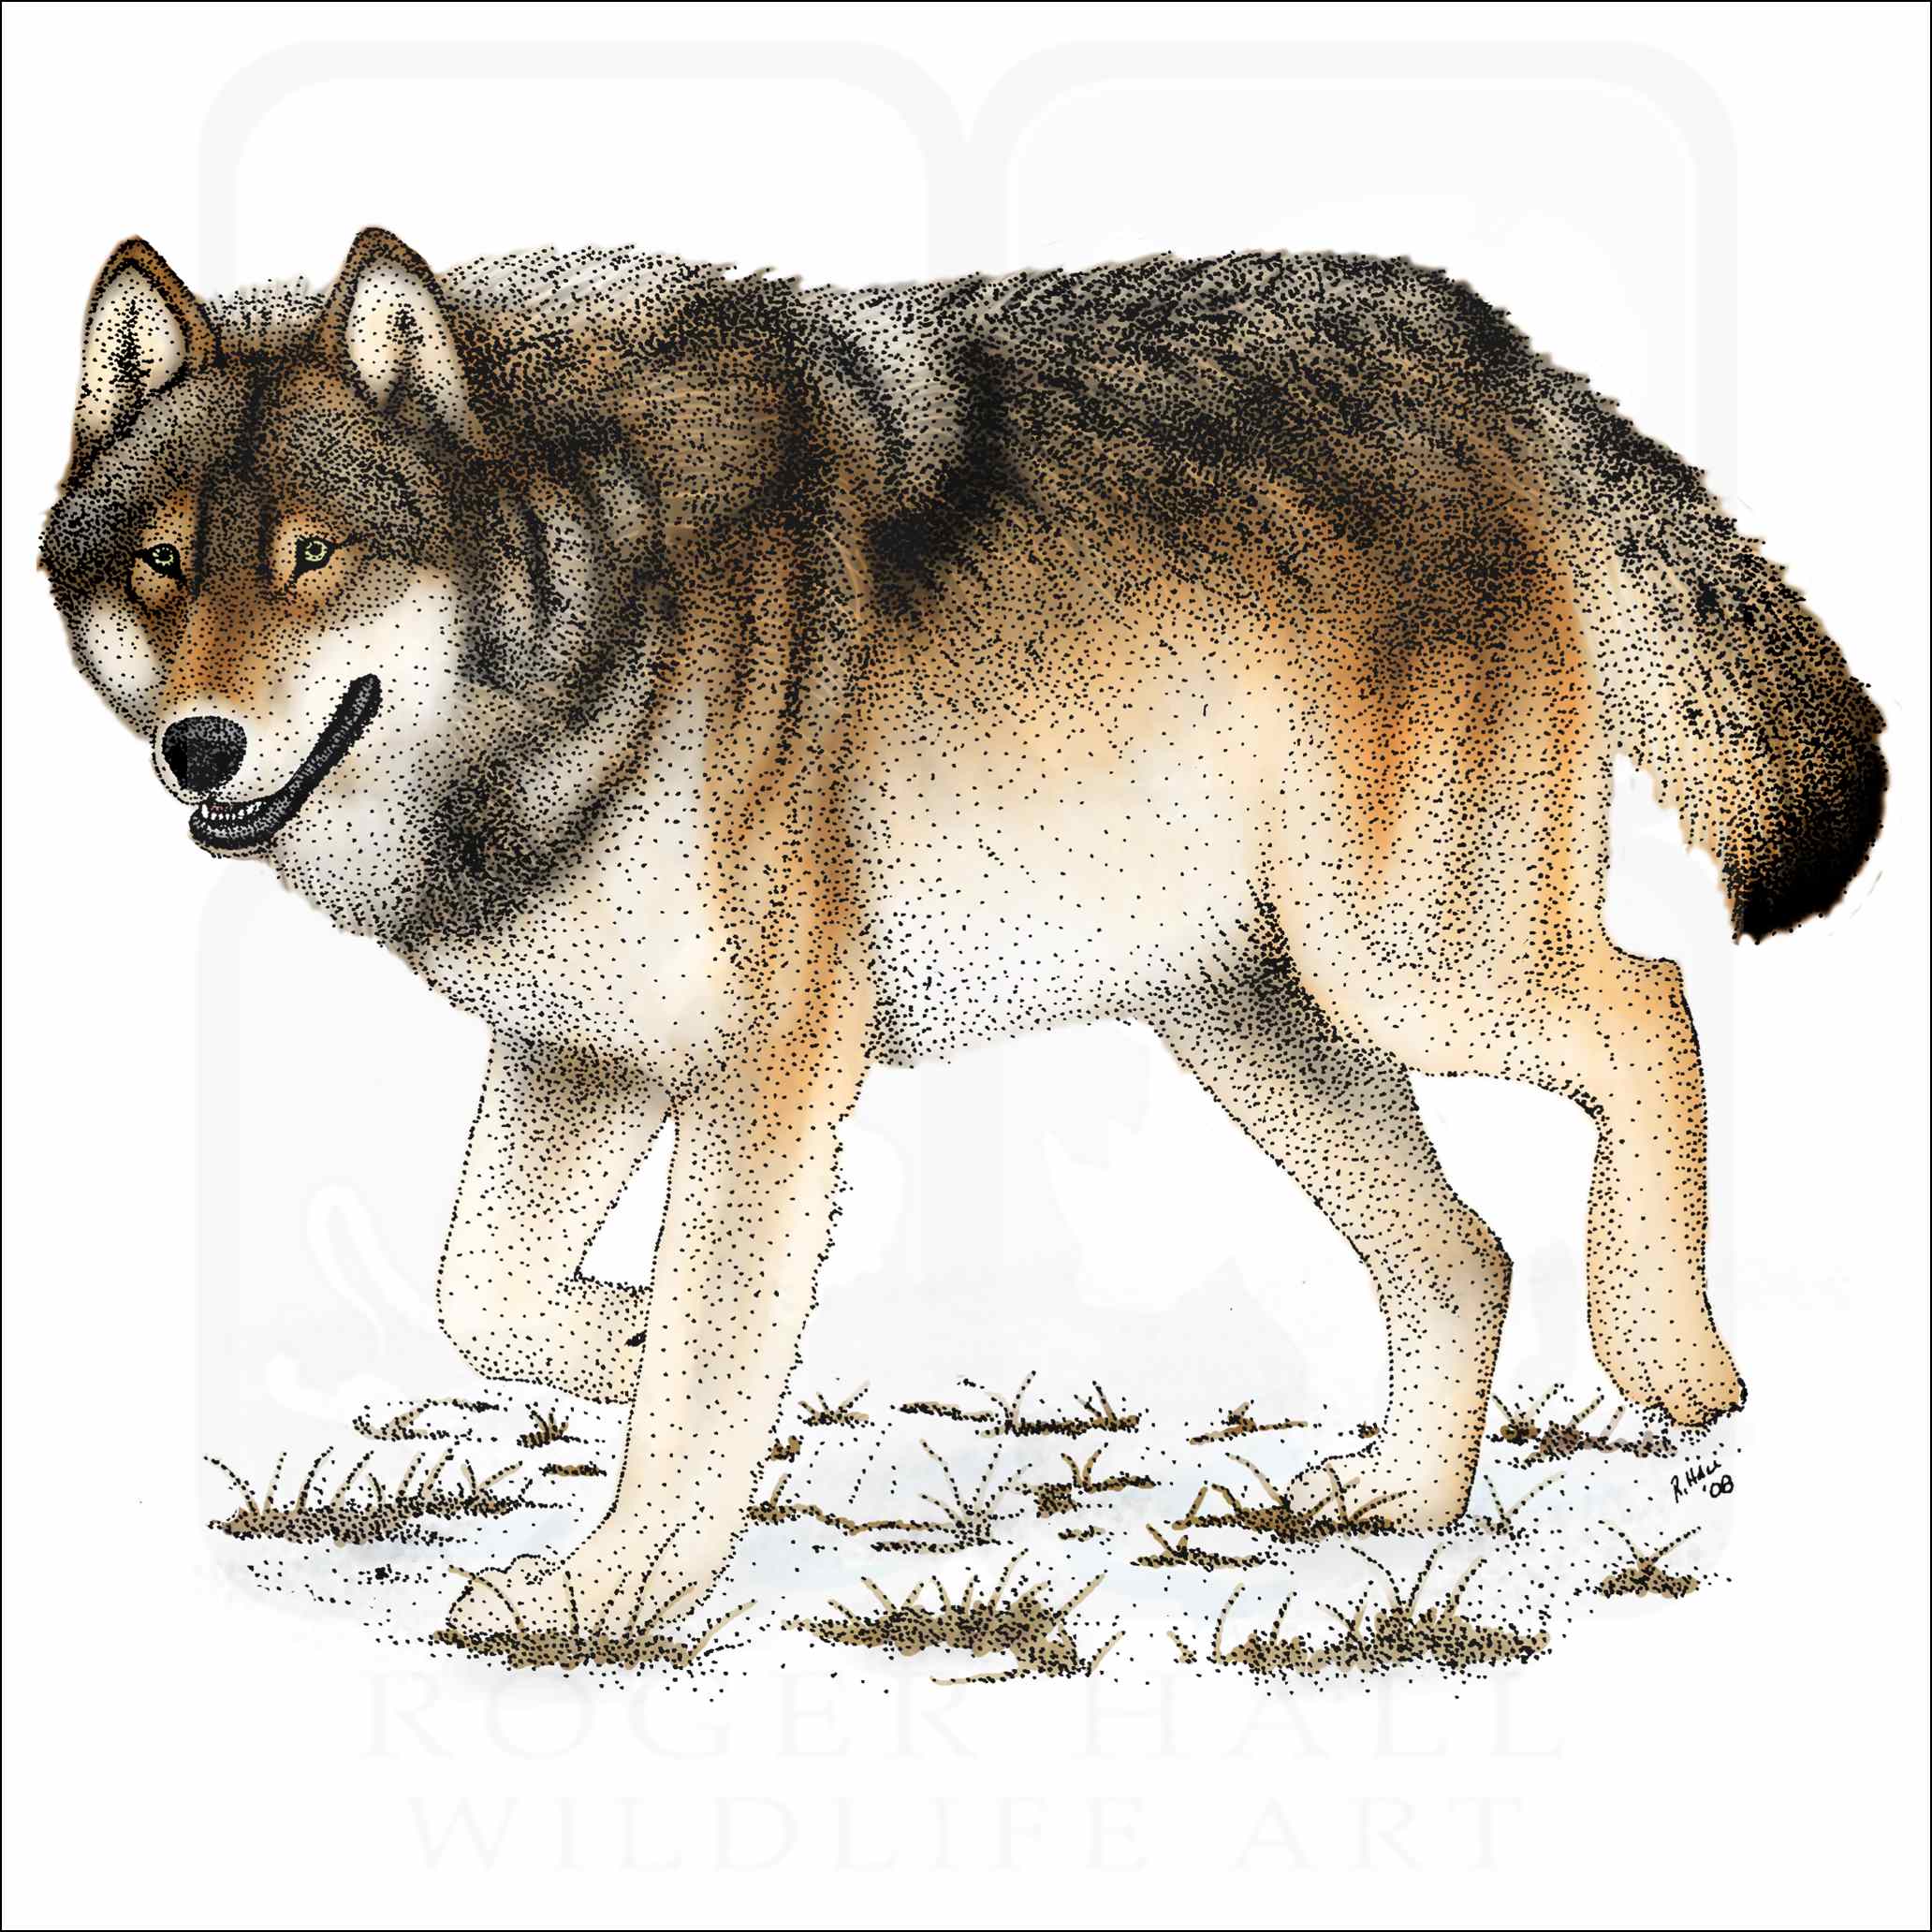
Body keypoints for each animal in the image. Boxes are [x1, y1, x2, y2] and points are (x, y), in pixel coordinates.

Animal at [43, 230, 1884, 1644]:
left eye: (313, 560)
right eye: (159, 567)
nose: (199, 747)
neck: (588, 616)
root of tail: (1481, 348)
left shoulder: (768, 1066)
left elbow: (698, 1368)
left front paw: (607, 1591)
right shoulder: (584, 1046)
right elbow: (477, 1288)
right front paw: (620, 1336)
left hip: (1408, 965)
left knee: (1651, 1005)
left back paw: (1671, 1355)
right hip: (1255, 1022)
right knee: (1466, 1249)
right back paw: (1399, 1499)